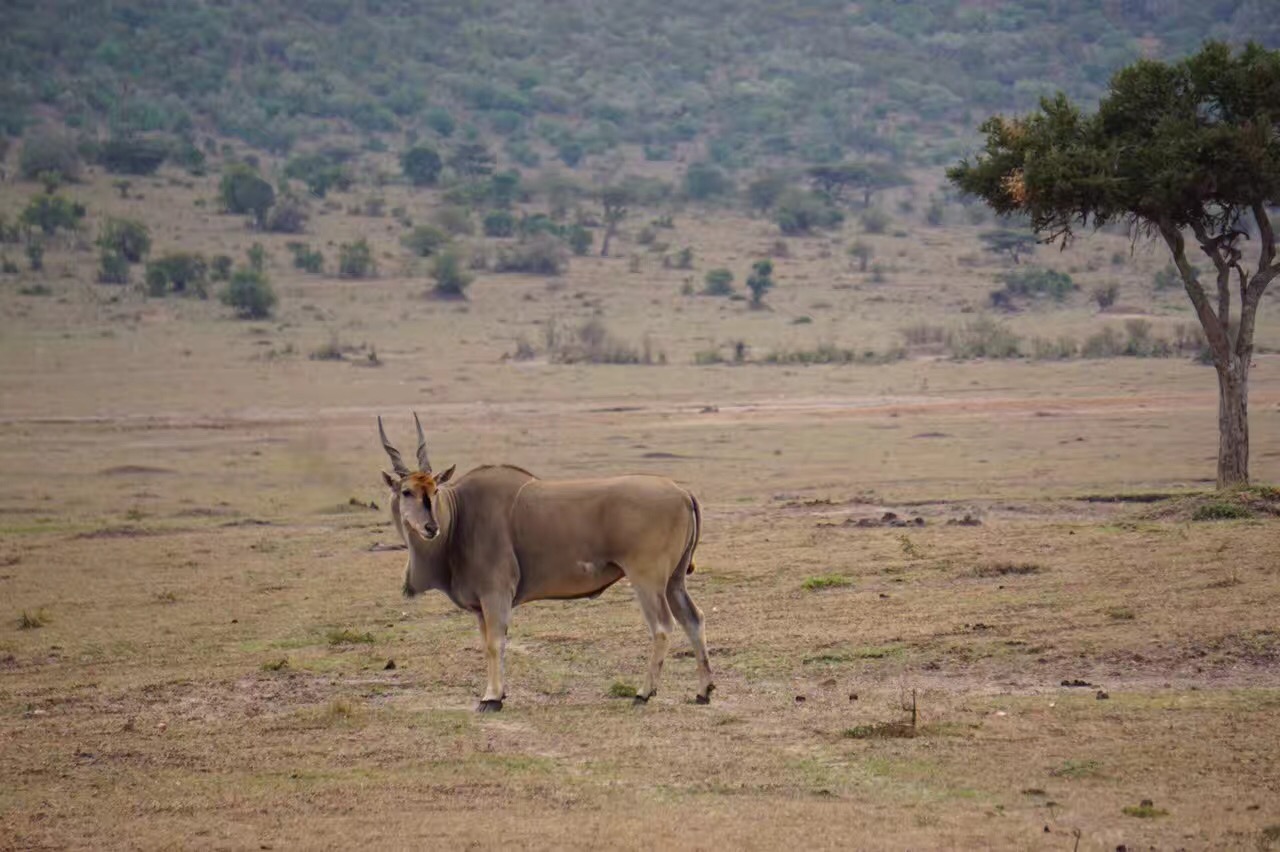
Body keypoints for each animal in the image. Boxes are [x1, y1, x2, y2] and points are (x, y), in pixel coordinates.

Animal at [373, 411, 716, 711]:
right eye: (406, 492)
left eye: (434, 489)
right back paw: (703, 691)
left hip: (647, 579)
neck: (461, 515)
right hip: (674, 581)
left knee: (663, 626)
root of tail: (682, 492)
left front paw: (492, 698)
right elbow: (487, 644)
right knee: (694, 619)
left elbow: (495, 643)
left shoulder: (495, 593)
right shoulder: (481, 605)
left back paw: (643, 693)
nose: (431, 527)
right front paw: (497, 693)